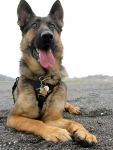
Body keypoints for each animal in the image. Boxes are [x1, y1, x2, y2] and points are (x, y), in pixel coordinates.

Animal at [7, 0, 97, 145]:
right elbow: (36, 123)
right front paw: (55, 132)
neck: (43, 78)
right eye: (34, 25)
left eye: (52, 26)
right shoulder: (15, 117)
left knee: (66, 104)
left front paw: (85, 133)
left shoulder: (53, 118)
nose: (47, 36)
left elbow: (74, 122)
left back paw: (73, 108)